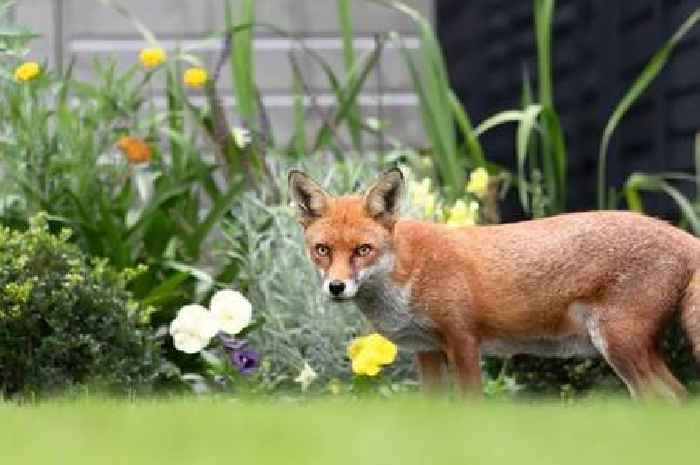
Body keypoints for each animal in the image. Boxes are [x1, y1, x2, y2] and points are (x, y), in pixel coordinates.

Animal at [288, 167, 700, 398]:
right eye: (323, 250)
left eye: (363, 250)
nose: (336, 287)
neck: (408, 275)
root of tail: (681, 235)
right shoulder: (428, 352)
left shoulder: (463, 342)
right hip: (632, 354)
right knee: (678, 398)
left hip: (620, 347)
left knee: (672, 399)